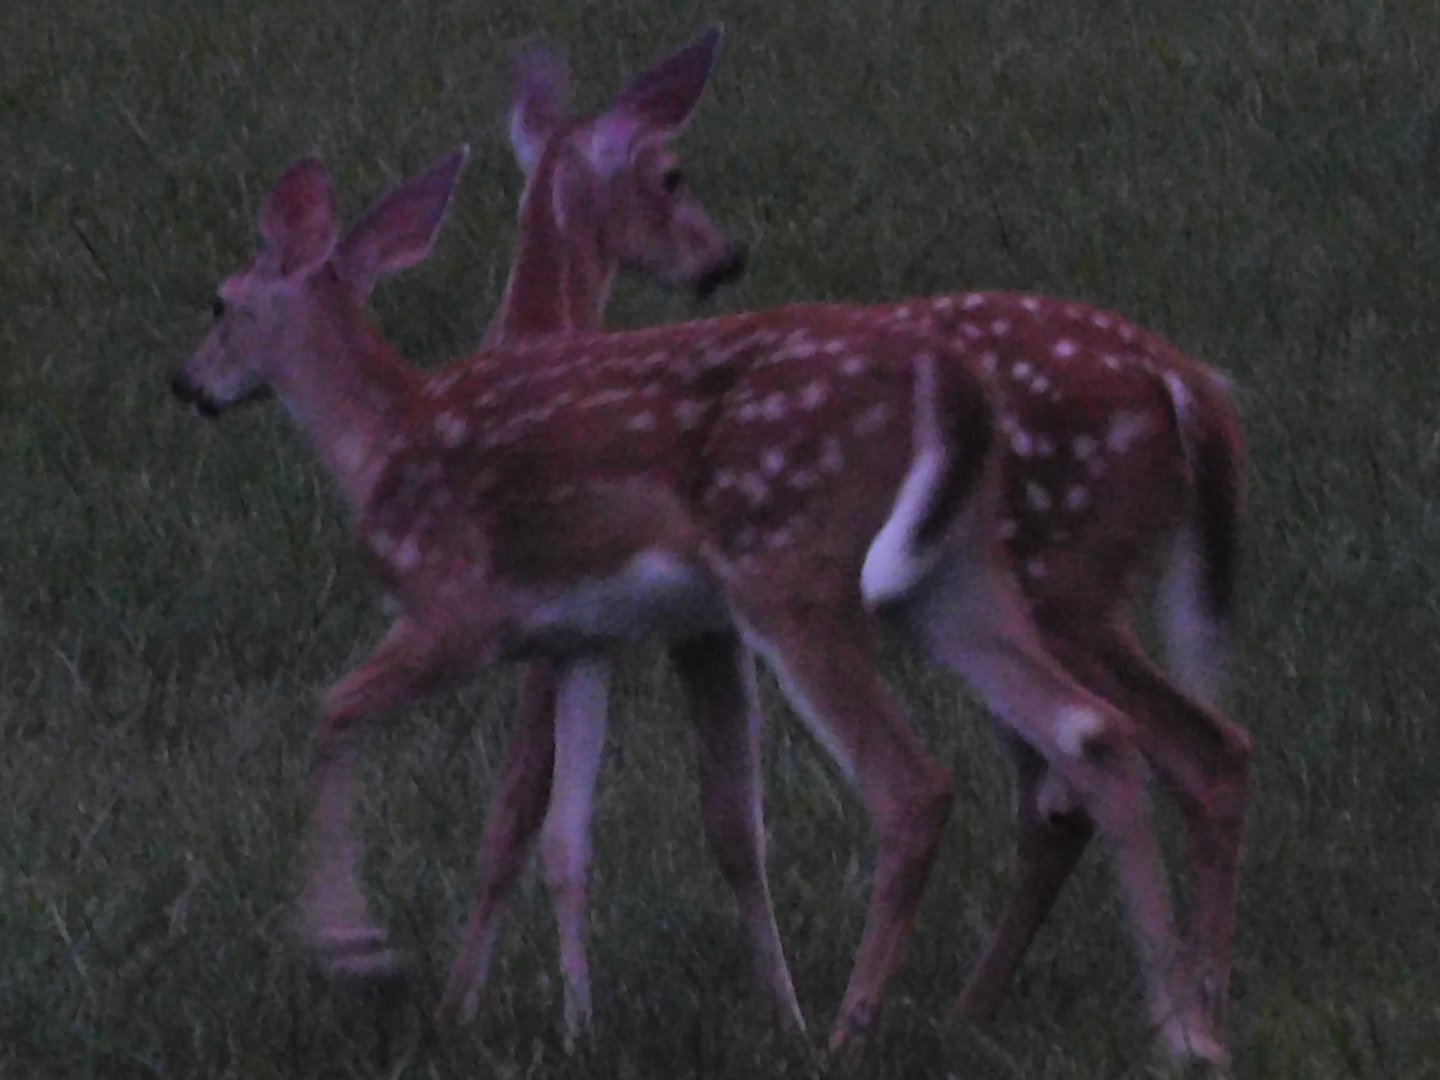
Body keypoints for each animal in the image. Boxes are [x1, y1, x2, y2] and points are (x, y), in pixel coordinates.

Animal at [169, 147, 1230, 1066]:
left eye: (220, 303)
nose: (187, 383)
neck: (382, 441)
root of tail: (1190, 385)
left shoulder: (460, 609)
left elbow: (340, 714)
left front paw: (361, 952)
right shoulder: (584, 636)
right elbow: (569, 833)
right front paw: (574, 1026)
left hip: (804, 570)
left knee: (924, 784)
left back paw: (860, 1031)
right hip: (953, 581)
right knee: (1112, 736)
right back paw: (1176, 1027)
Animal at [442, 23, 1252, 1057]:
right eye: (672, 177)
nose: (725, 256)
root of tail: (1186, 385)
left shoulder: (562, 619)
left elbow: (518, 807)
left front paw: (466, 1005)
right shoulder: (660, 626)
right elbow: (676, 816)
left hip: (1048, 571)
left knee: (1103, 767)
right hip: (1031, 589)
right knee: (1158, 760)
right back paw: (1110, 1006)